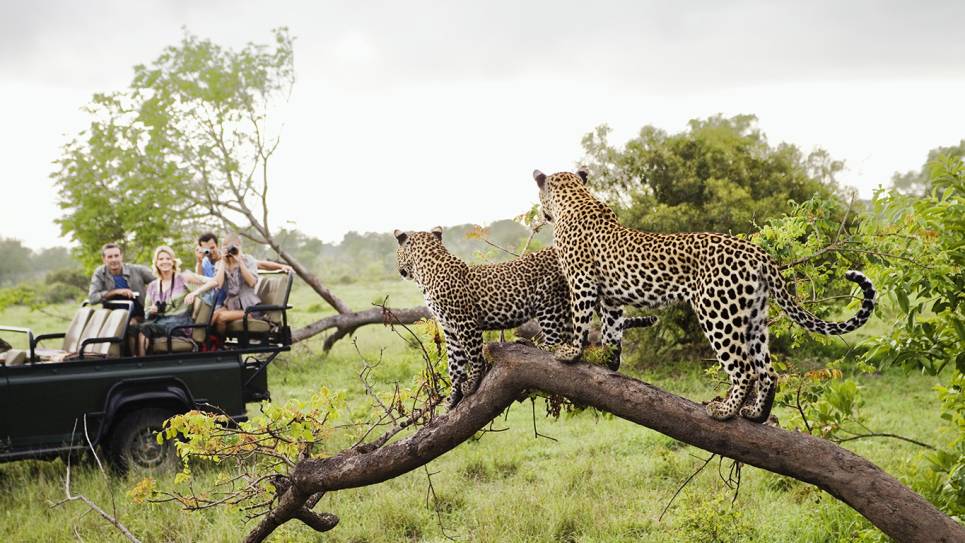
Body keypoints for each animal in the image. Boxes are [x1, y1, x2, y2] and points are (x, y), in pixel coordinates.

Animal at [392, 227, 656, 410]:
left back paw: (531, 344)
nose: (399, 270)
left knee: (556, 343)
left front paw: (473, 382)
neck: (426, 271)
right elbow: (454, 365)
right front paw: (453, 398)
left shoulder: (466, 325)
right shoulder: (450, 329)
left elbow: (474, 357)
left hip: (549, 303)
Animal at [532, 168, 876, 422]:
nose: (542, 213)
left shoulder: (581, 281)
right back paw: (754, 414)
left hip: (718, 312)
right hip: (754, 317)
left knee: (744, 369)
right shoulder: (612, 298)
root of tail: (759, 254)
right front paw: (609, 361)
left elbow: (580, 320)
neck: (575, 198)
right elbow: (612, 330)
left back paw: (724, 411)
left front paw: (570, 352)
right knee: (767, 371)